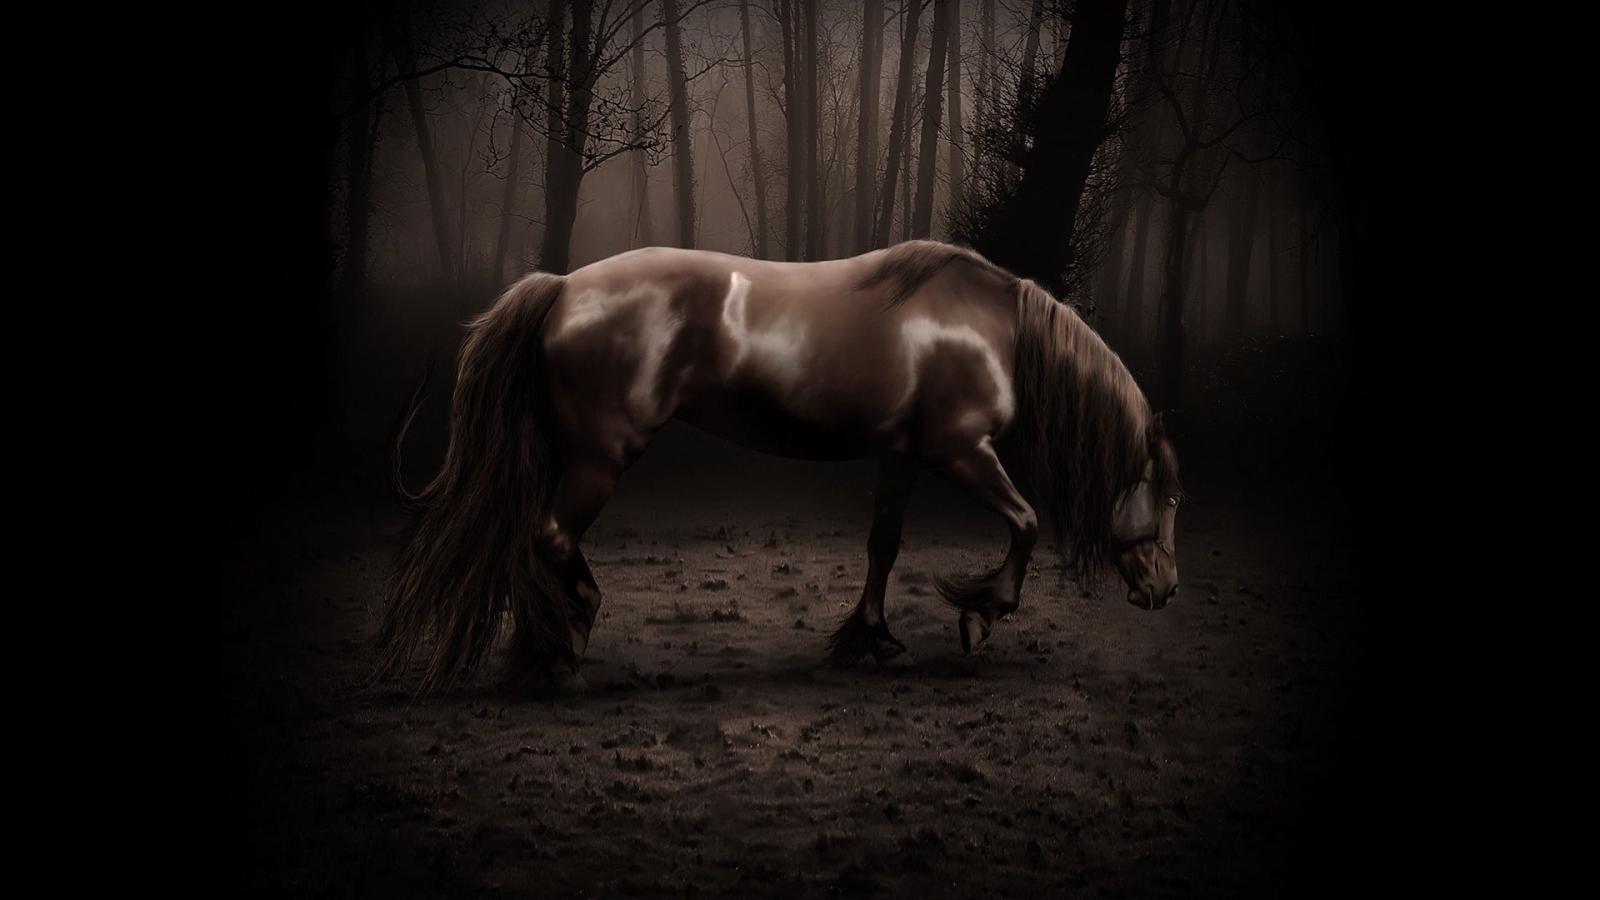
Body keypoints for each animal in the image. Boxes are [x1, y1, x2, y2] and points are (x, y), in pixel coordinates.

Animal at [379, 240, 1182, 694]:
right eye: (1170, 498)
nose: (1166, 590)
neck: (990, 327)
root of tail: (562, 288)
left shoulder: (904, 456)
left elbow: (883, 547)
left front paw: (872, 639)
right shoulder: (959, 451)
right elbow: (1025, 522)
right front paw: (980, 616)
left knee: (538, 536)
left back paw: (553, 640)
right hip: (601, 457)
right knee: (548, 536)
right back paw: (563, 648)